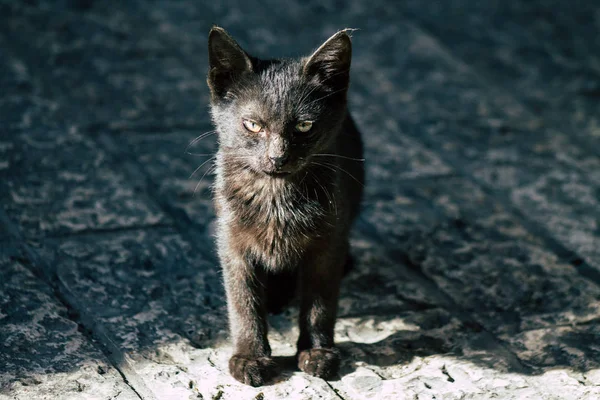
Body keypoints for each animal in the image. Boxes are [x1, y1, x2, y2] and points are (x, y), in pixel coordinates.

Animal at [206, 26, 366, 386]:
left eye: (304, 126)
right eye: (253, 125)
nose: (277, 157)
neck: (276, 196)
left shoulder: (328, 243)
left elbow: (320, 302)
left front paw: (317, 352)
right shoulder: (232, 243)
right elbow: (243, 301)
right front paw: (250, 357)